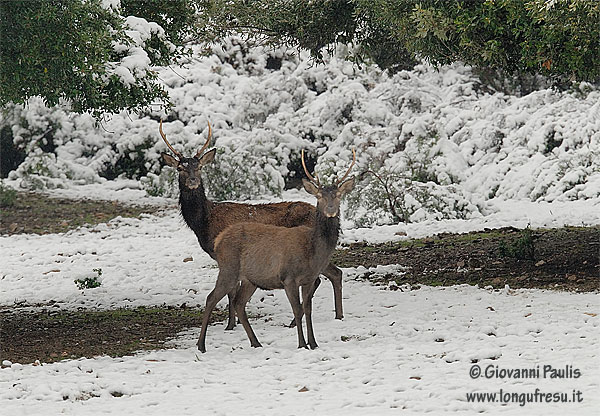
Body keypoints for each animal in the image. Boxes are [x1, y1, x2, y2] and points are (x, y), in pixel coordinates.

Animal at [159, 121, 344, 332]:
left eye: (198, 167)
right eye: (180, 168)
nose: (193, 180)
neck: (204, 221)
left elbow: (231, 292)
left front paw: (230, 325)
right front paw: (235, 322)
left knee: (329, 275)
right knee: (332, 274)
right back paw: (334, 316)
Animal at [197, 149, 356, 352]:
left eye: (338, 195)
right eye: (319, 196)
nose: (330, 210)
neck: (312, 251)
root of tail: (219, 239)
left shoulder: (309, 279)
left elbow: (308, 309)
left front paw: (313, 343)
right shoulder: (288, 277)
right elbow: (297, 309)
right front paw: (302, 344)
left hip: (250, 279)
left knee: (239, 303)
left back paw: (255, 342)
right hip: (228, 269)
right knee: (211, 298)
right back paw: (201, 345)